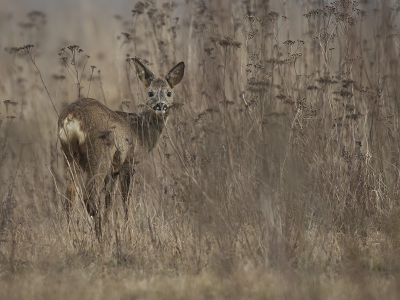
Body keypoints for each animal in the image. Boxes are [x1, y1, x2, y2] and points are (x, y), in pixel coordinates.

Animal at [57, 58, 184, 237]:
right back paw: (99, 234)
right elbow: (126, 201)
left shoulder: (114, 171)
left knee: (69, 198)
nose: (160, 106)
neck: (141, 133)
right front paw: (129, 235)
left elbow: (109, 202)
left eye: (168, 93)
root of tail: (72, 117)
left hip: (68, 155)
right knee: (89, 196)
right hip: (99, 156)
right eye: (150, 92)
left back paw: (73, 235)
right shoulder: (128, 163)